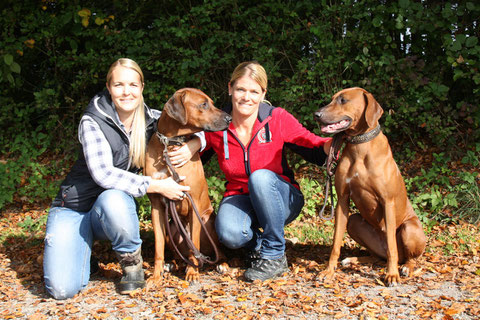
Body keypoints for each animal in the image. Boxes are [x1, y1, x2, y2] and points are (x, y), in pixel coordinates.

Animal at [143, 88, 232, 282]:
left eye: (211, 102)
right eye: (203, 104)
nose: (230, 118)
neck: (170, 144)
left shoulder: (194, 204)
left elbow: (194, 246)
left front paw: (193, 272)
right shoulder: (157, 207)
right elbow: (158, 247)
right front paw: (155, 275)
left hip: (207, 222)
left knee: (216, 251)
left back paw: (220, 264)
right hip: (172, 230)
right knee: (178, 252)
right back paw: (172, 264)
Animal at [316, 87, 426, 284]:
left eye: (343, 100)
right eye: (332, 99)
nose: (317, 115)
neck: (359, 146)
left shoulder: (387, 202)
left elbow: (391, 246)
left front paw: (392, 274)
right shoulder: (342, 200)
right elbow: (336, 242)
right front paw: (328, 271)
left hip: (409, 228)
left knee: (408, 256)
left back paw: (406, 267)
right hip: (354, 222)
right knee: (376, 256)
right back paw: (352, 259)